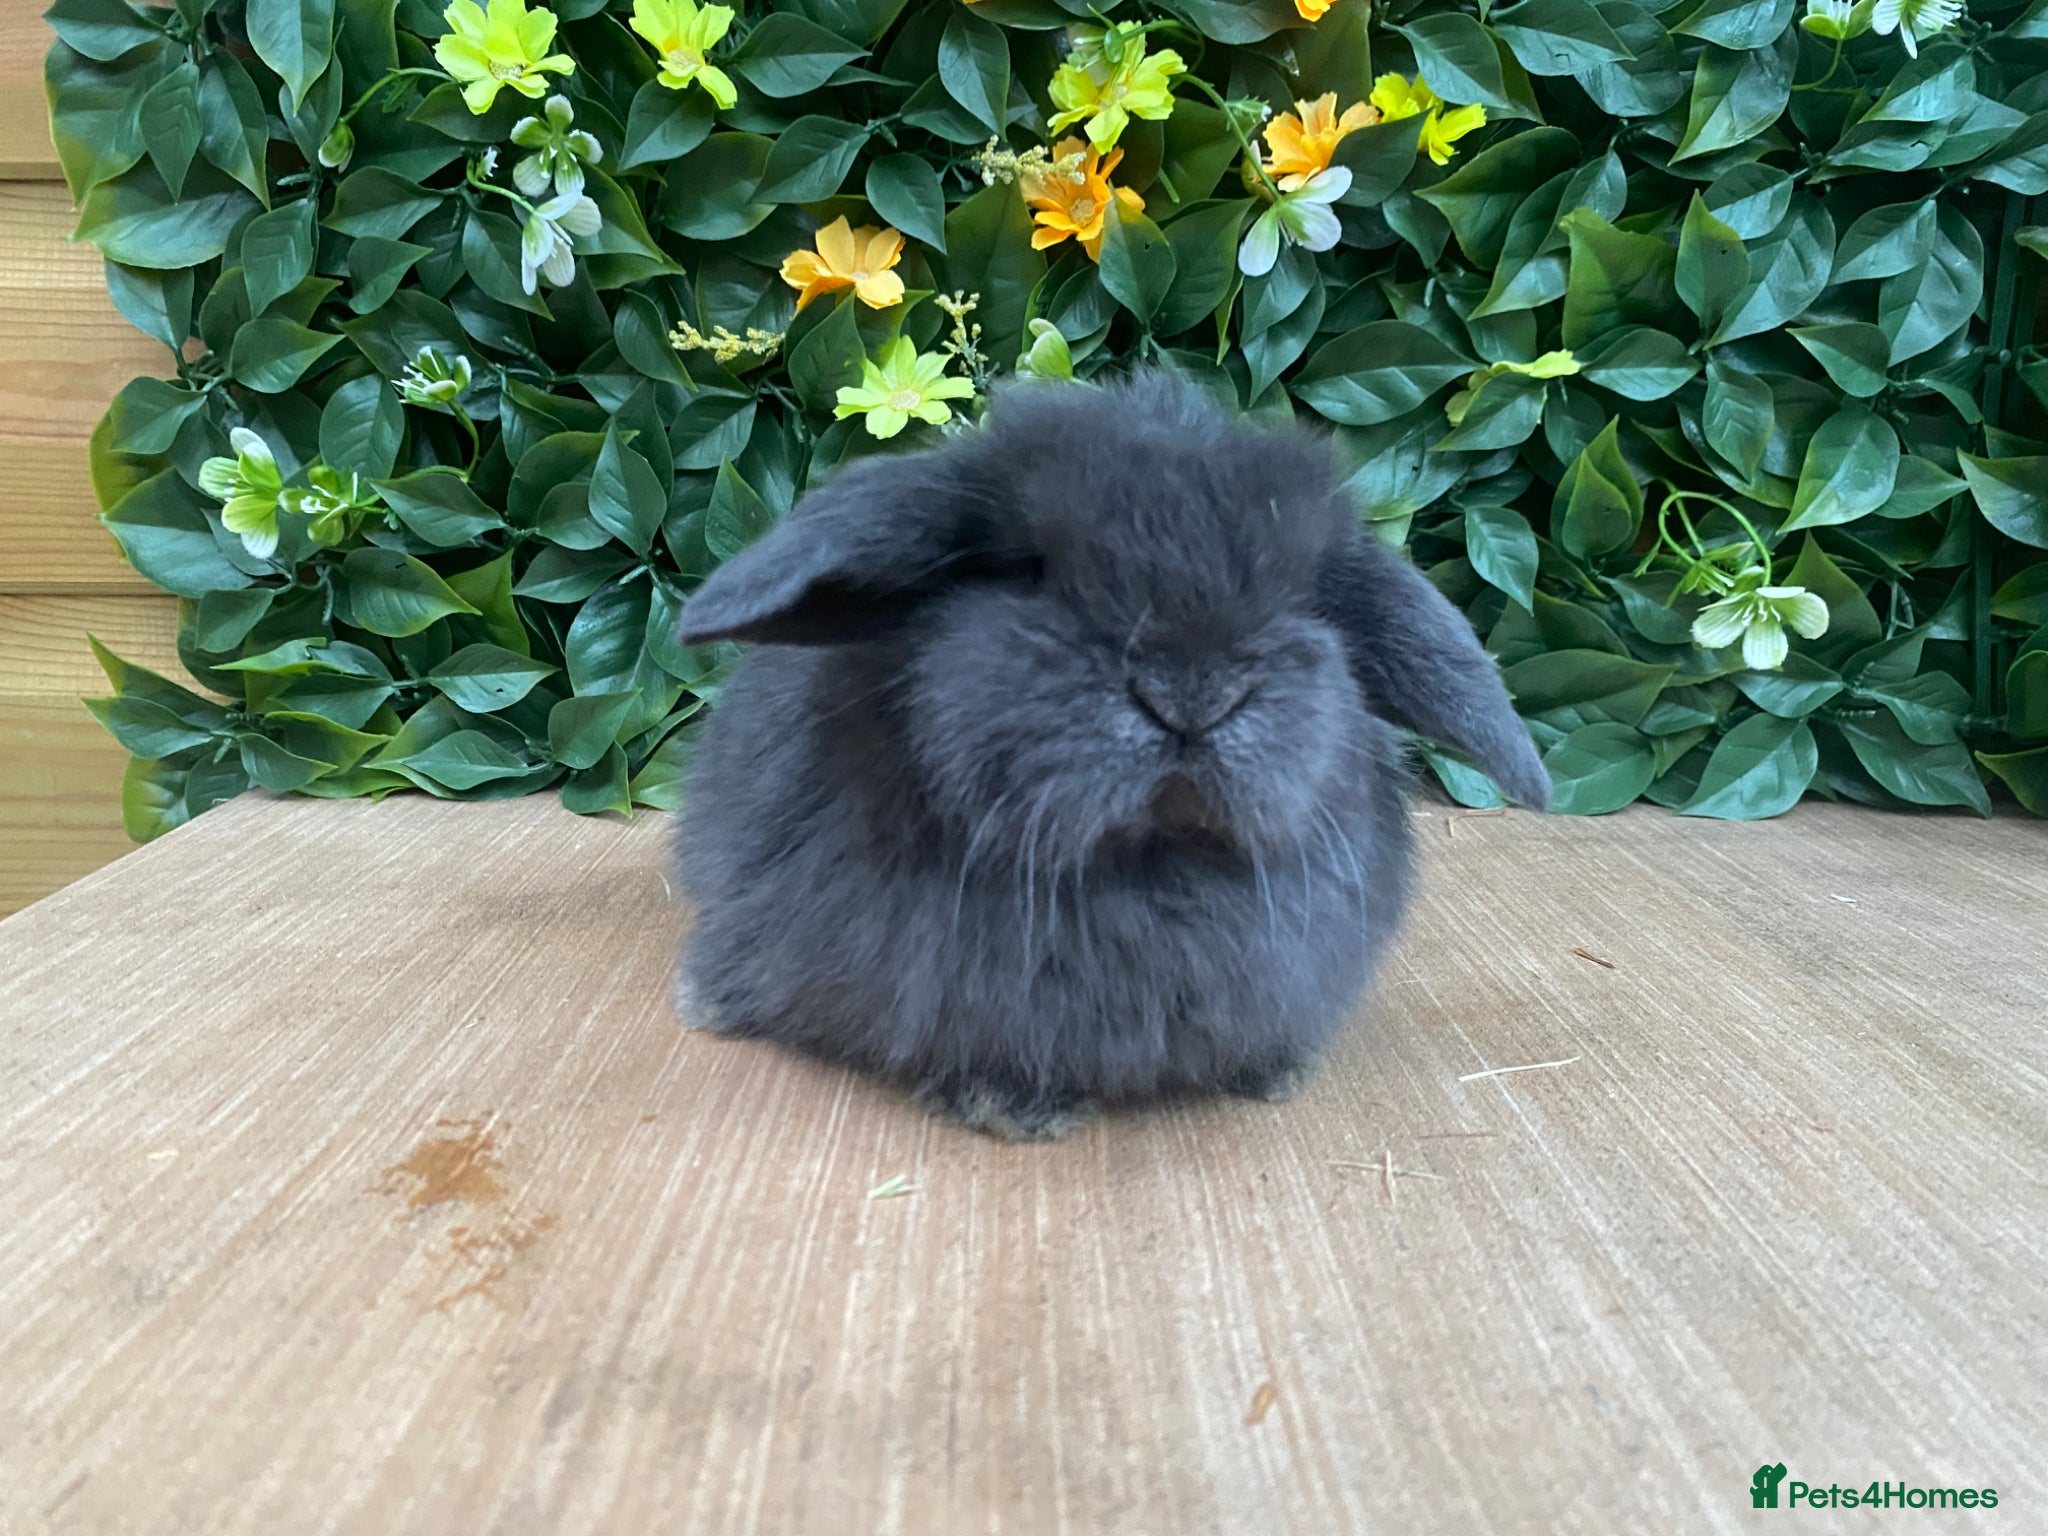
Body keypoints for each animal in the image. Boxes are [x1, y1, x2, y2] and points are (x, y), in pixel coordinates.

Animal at [671, 371, 1549, 1140]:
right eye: (1028, 570)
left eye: (1302, 595)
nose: (1191, 691)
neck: (1147, 862)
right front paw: (1007, 1105)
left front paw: (1276, 1072)